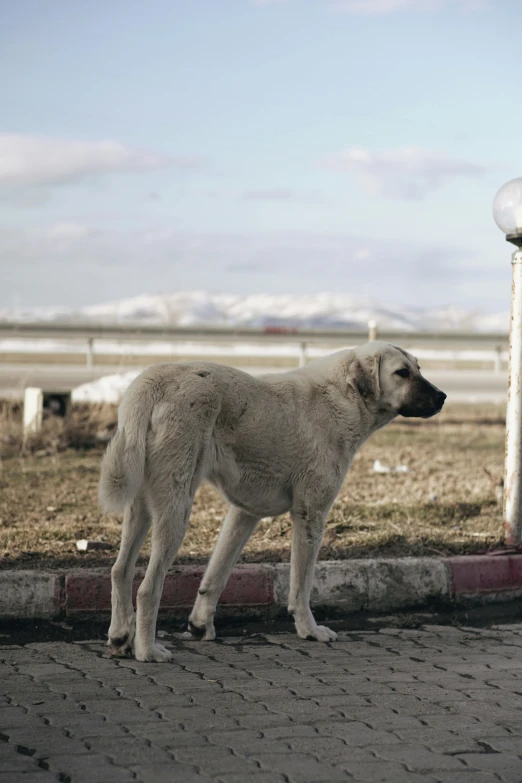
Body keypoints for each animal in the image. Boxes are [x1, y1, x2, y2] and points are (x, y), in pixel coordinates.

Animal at [96, 344, 442, 660]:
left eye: (418, 368)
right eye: (402, 373)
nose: (443, 397)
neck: (344, 395)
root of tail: (152, 382)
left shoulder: (243, 513)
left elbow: (217, 575)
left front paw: (200, 625)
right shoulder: (311, 514)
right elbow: (301, 584)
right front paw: (309, 630)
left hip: (141, 506)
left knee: (120, 570)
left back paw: (120, 636)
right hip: (176, 508)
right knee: (148, 587)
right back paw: (147, 651)